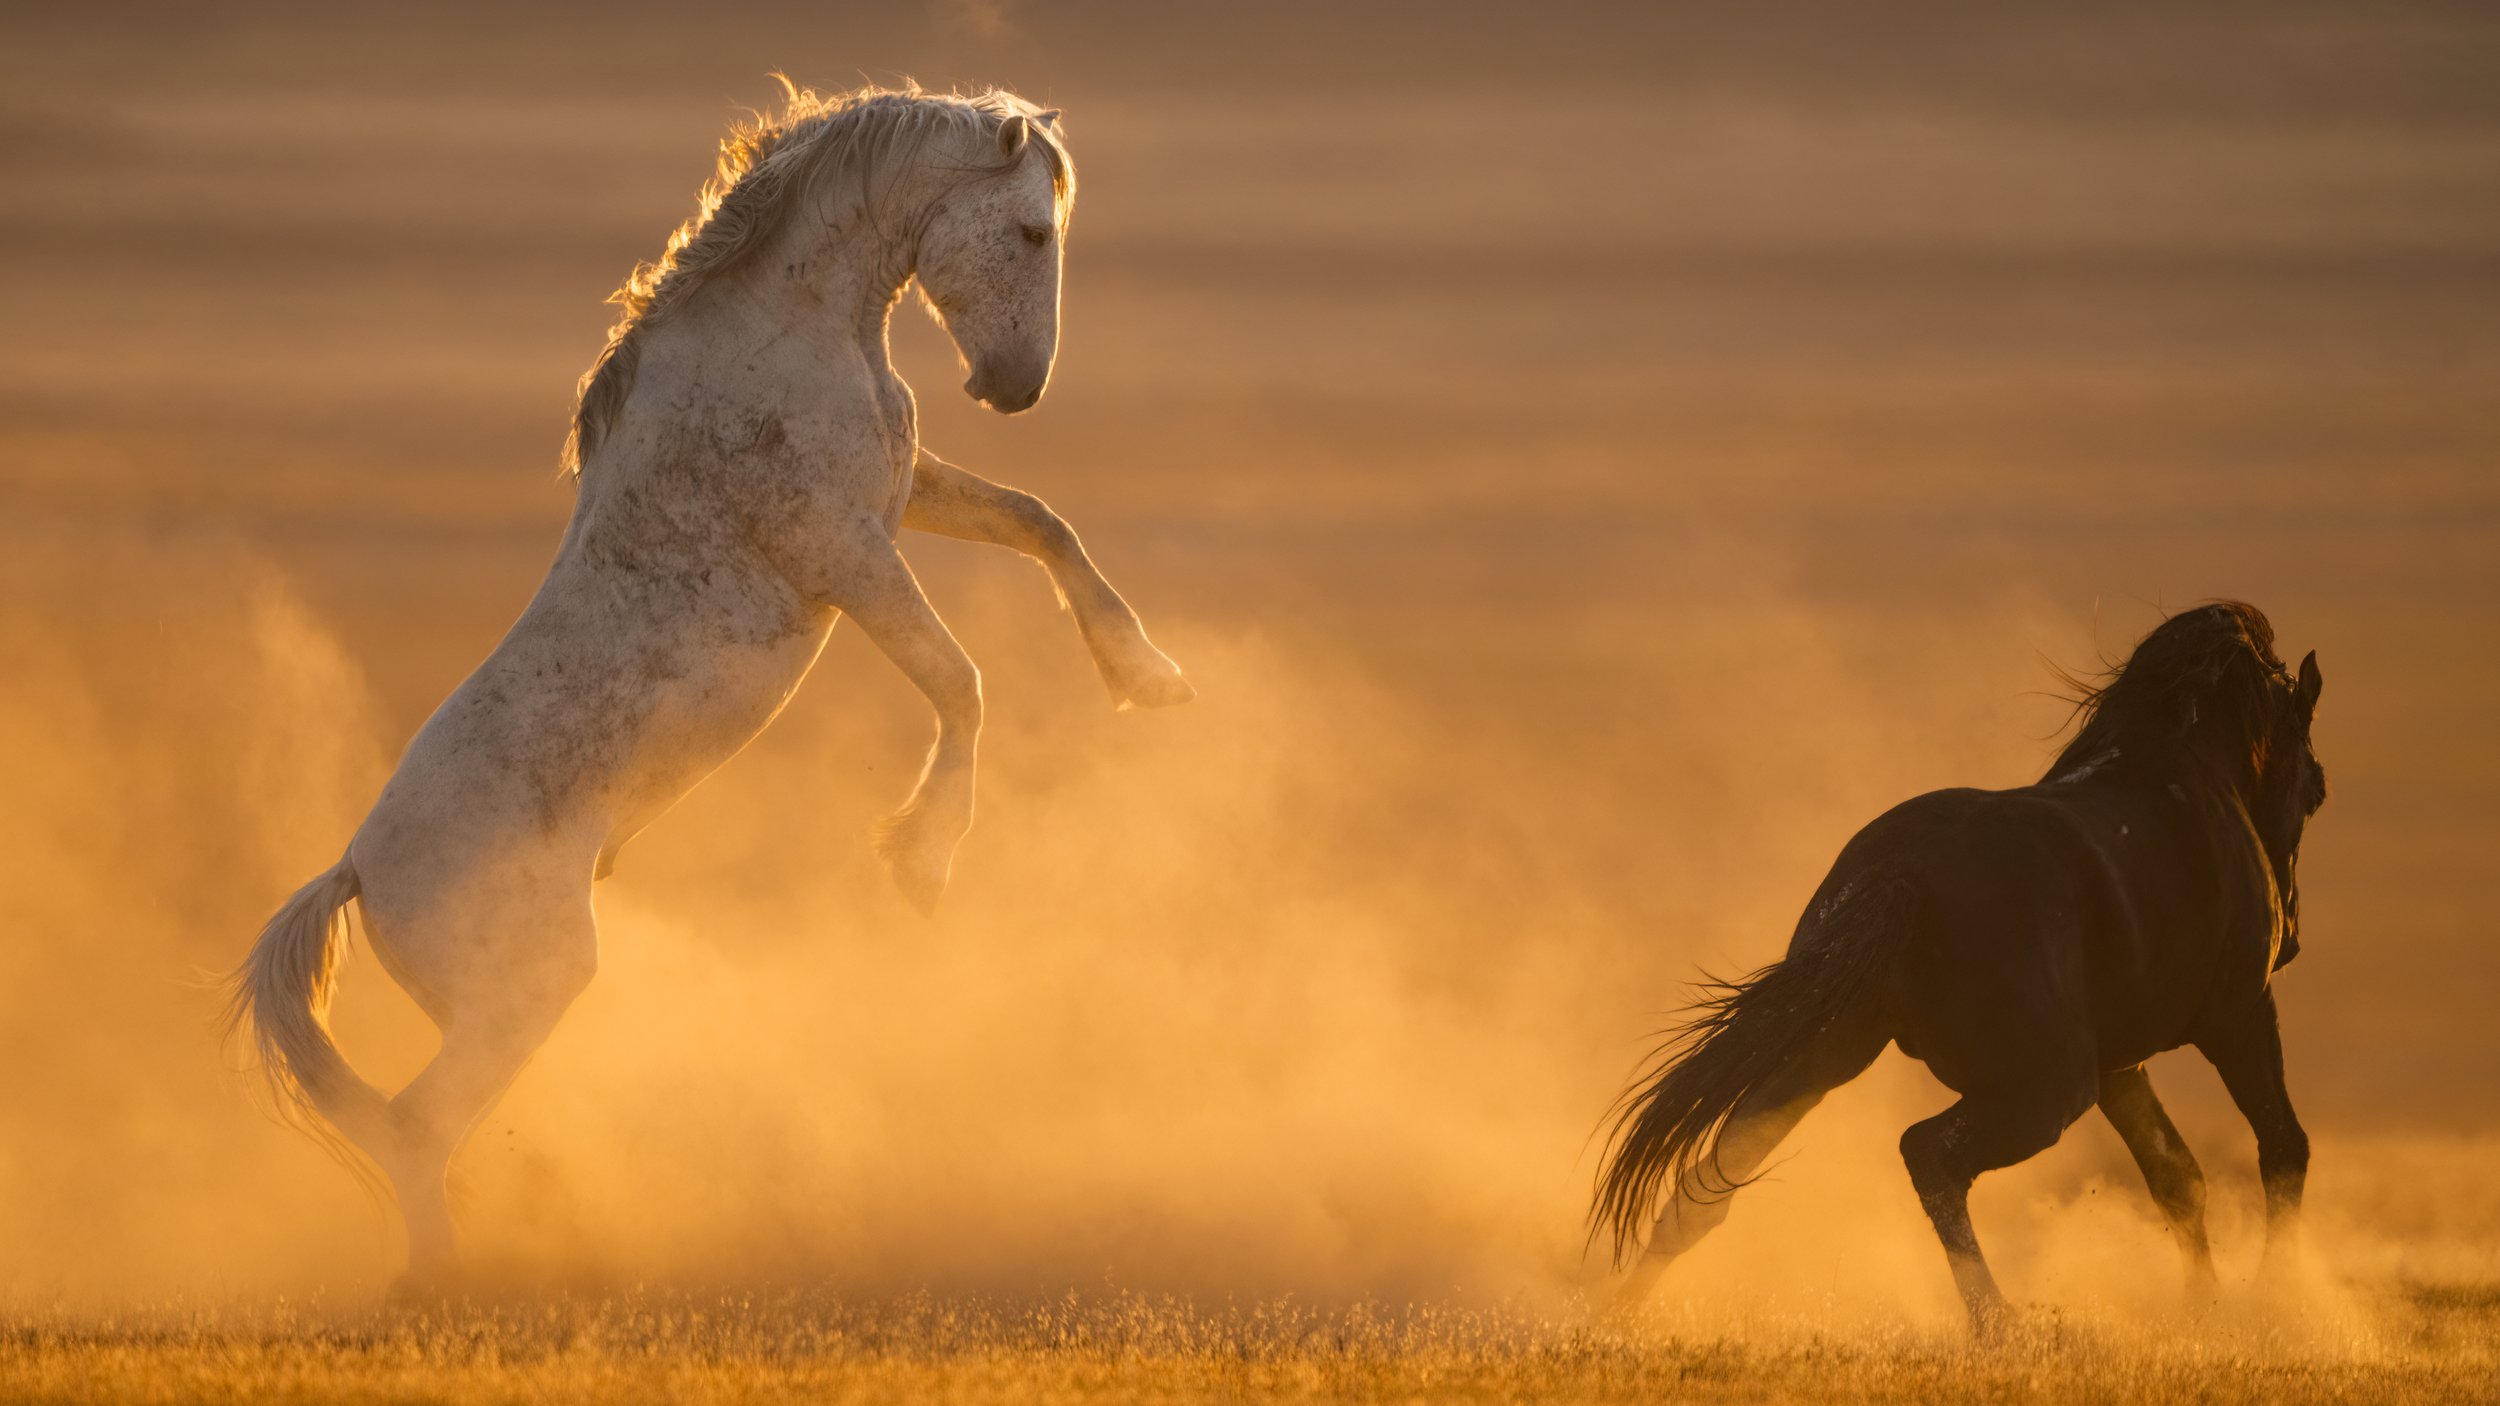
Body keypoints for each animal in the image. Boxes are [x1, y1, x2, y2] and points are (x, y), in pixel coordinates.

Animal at [227, 83, 1194, 1285]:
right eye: (1028, 233)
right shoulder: (841, 546)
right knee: (411, 1127)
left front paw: (1148, 676)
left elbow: (1040, 523)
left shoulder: (901, 494)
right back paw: (449, 1278)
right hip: (526, 990)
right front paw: (921, 860)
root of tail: (357, 869)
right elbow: (959, 679)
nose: (1015, 389)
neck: (790, 331)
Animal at [1591, 602, 2328, 1330]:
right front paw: (2275, 1300)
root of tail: (1900, 876)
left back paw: (1613, 1316)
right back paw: (1998, 1323)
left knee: (1710, 1180)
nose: (2291, 940)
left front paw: (2206, 1308)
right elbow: (2281, 1146)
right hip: (2045, 1089)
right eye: (2315, 790)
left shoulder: (2121, 1064)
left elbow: (2178, 1177)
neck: (2188, 773)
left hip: (1825, 1055)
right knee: (1929, 1154)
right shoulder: (2237, 1016)